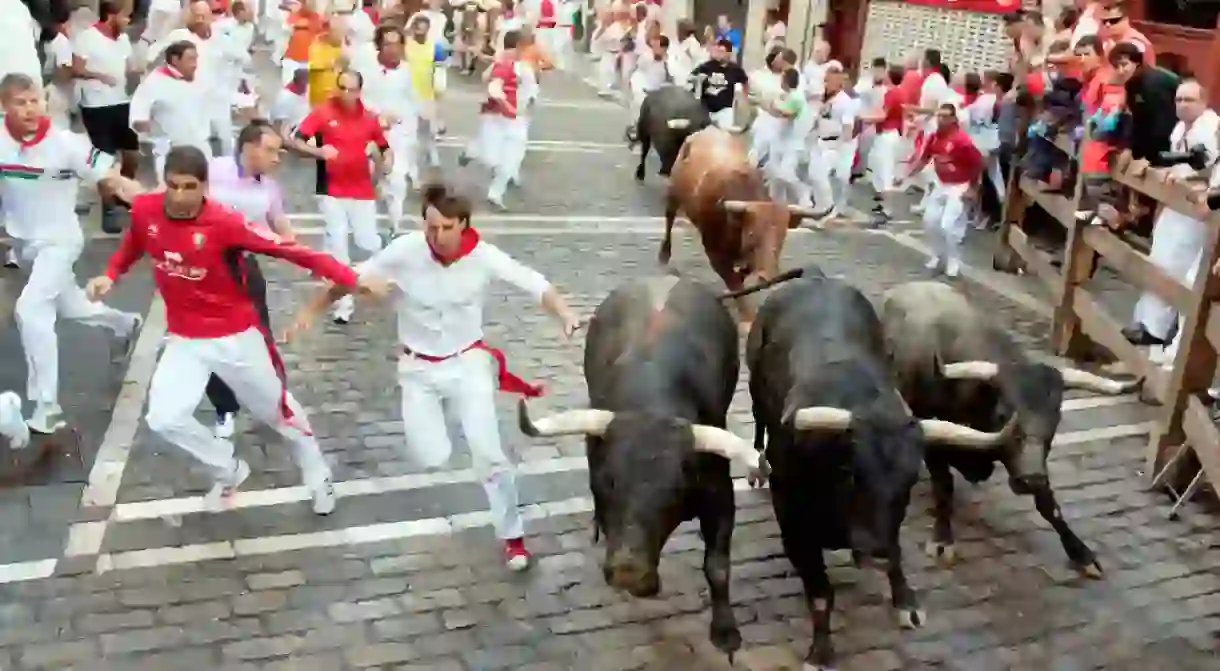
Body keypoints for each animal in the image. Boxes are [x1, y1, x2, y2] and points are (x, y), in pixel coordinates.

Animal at [519, 275, 766, 658]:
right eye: (606, 482)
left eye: (675, 489)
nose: (628, 570)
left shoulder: (720, 495)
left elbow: (718, 566)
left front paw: (725, 631)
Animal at [663, 127, 824, 329]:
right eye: (752, 233)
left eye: (782, 237)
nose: (767, 276)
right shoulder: (715, 254)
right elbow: (734, 282)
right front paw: (747, 316)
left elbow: (741, 275)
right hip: (673, 193)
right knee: (669, 219)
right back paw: (664, 254)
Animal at [741, 267, 1019, 668]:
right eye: (851, 473)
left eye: (909, 480)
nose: (873, 550)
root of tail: (815, 276)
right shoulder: (793, 524)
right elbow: (820, 593)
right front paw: (821, 650)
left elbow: (897, 552)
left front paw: (905, 600)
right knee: (758, 422)